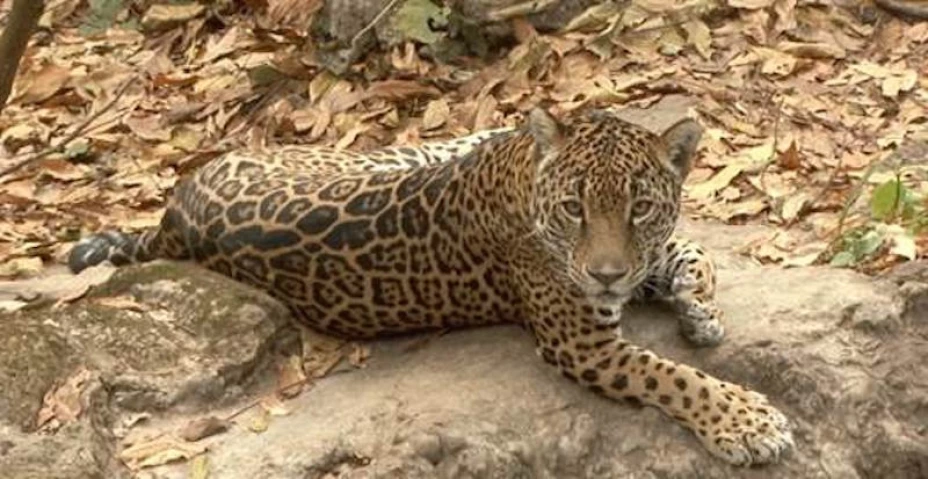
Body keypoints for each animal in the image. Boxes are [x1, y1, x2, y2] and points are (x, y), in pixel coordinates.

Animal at [68, 107, 793, 466]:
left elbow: (693, 253)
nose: (606, 273)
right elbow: (674, 377)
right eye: (574, 208)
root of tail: (170, 217)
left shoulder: (637, 263)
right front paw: (747, 420)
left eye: (639, 207)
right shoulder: (581, 340)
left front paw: (700, 312)